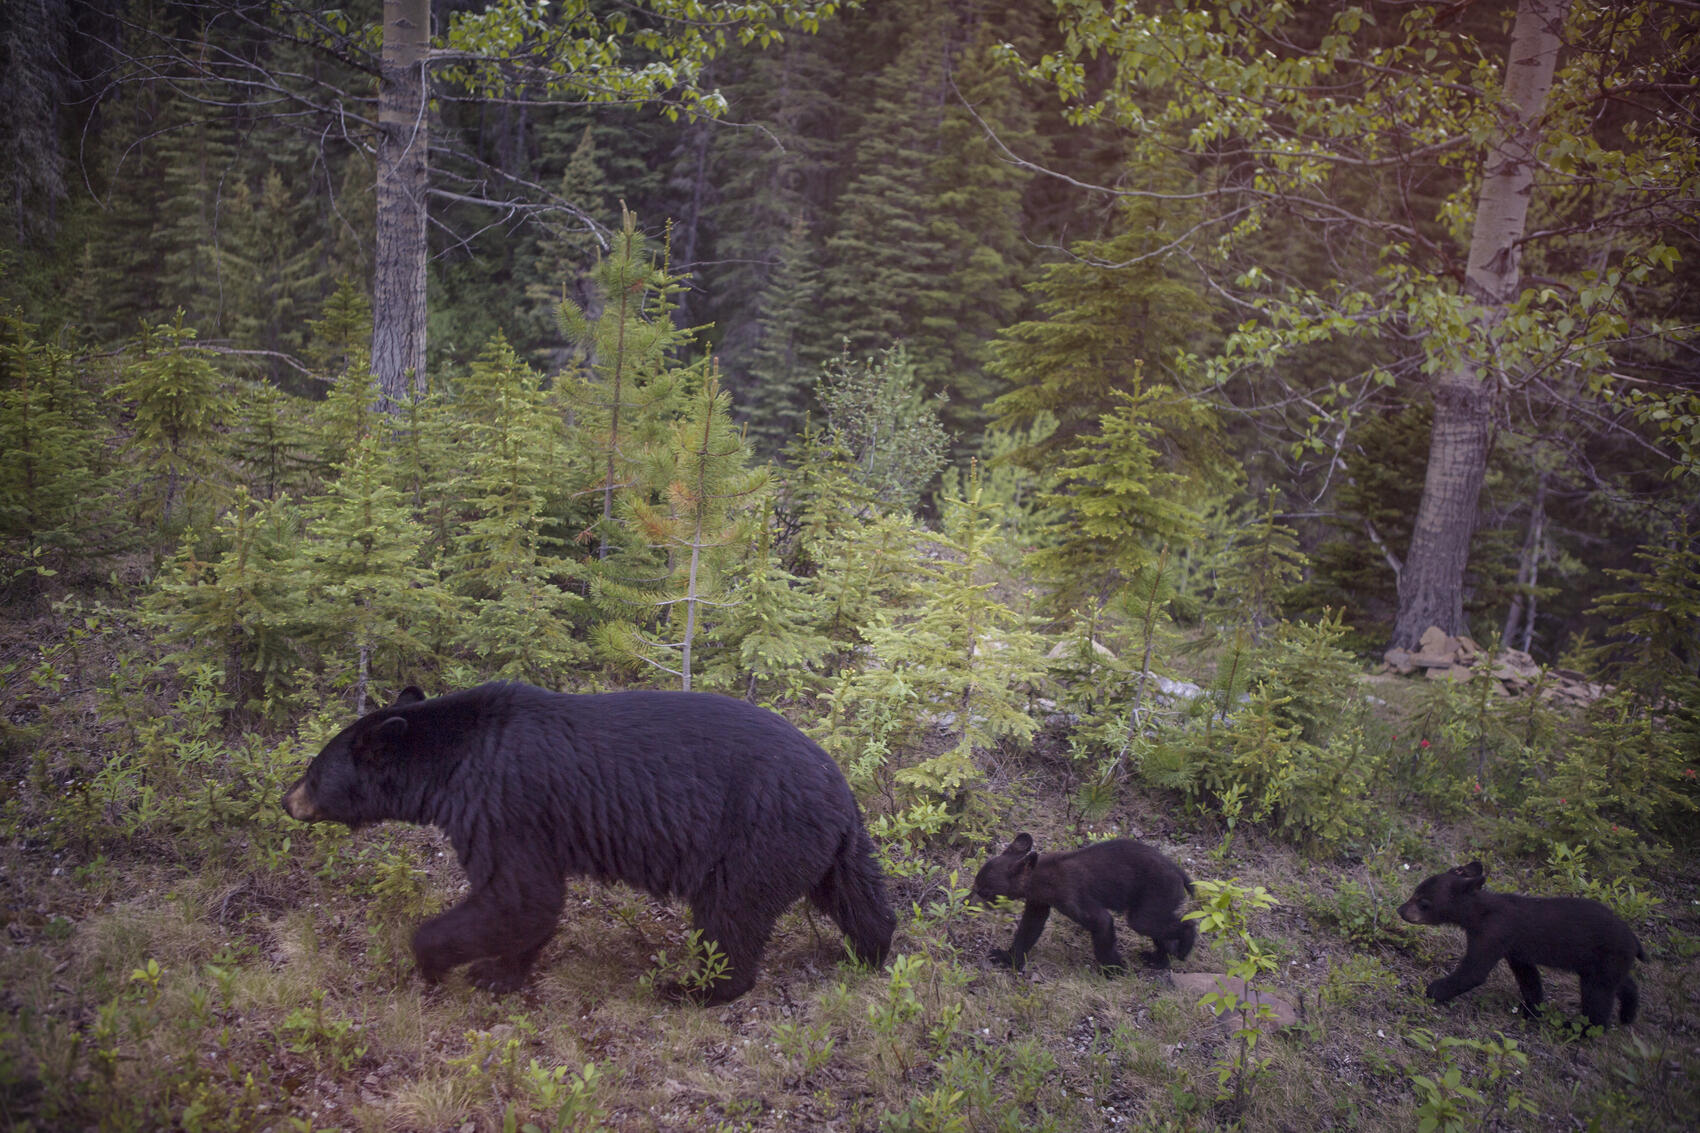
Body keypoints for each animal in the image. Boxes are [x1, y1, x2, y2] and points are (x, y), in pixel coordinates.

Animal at [281, 682, 895, 1005]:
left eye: (312, 772)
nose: (286, 801)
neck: (451, 762)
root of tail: (843, 790)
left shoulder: (503, 803)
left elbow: (518, 895)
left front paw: (438, 962)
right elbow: (528, 903)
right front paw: (502, 972)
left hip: (756, 837)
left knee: (730, 917)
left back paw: (693, 987)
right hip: (826, 847)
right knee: (857, 896)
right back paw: (868, 951)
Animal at [972, 832, 1196, 973]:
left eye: (984, 891)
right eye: (976, 883)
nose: (967, 901)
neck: (1041, 880)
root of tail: (1180, 872)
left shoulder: (1072, 898)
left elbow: (1102, 923)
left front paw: (1115, 970)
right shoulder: (1039, 902)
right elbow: (1029, 929)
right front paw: (1006, 957)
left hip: (1156, 894)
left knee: (1158, 923)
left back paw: (1184, 949)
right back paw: (1158, 959)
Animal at [1398, 860, 1644, 1030]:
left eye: (1424, 902)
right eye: (1415, 891)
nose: (1401, 910)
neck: (1479, 913)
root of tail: (1634, 939)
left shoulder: (1493, 933)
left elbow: (1474, 971)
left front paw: (1432, 989)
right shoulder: (1516, 950)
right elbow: (1528, 976)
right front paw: (1533, 1009)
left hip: (1605, 959)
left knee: (1598, 996)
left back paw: (1578, 1029)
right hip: (1605, 963)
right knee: (1622, 983)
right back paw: (1628, 1014)